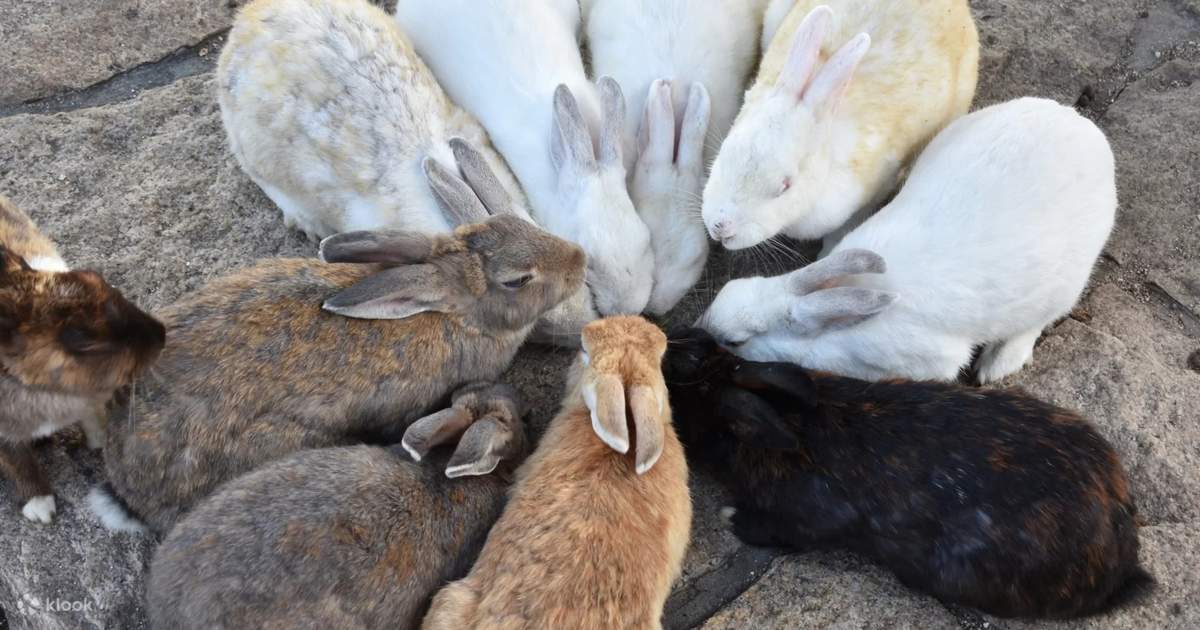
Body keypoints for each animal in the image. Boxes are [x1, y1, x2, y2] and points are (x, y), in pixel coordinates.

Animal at [0, 195, 164, 524]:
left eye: (98, 279)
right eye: (80, 339)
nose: (161, 334)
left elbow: (92, 416)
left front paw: (100, 442)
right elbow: (18, 462)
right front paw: (41, 508)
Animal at [662, 327, 1153, 618]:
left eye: (675, 404)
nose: (670, 331)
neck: (791, 425)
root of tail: (1122, 556)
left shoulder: (808, 521)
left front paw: (732, 518)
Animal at [698, 98, 1117, 383]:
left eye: (736, 342)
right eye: (729, 288)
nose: (702, 326)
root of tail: (1080, 125)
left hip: (1064, 285)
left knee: (1038, 321)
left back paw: (997, 365)